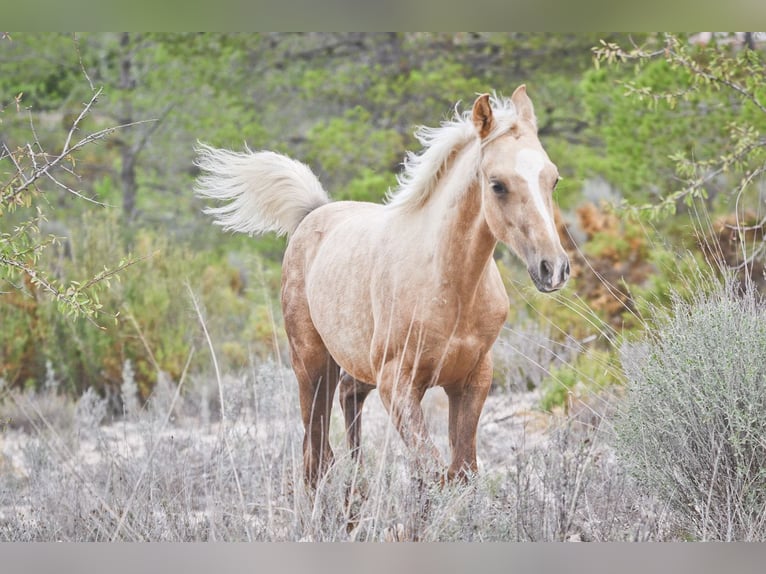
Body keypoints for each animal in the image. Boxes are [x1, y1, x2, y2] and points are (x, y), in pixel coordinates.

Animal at [195, 86, 572, 490]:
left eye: (553, 179)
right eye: (497, 185)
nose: (553, 268)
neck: (449, 286)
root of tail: (313, 213)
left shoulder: (473, 380)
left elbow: (462, 471)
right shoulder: (398, 385)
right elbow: (432, 471)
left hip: (356, 367)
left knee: (348, 404)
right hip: (311, 366)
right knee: (316, 456)